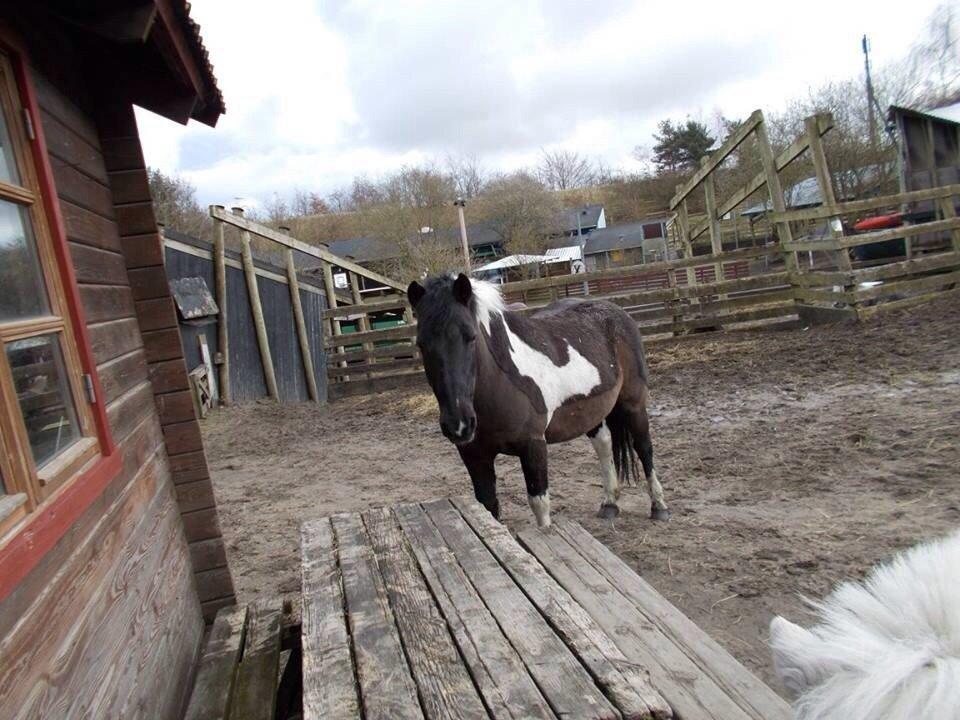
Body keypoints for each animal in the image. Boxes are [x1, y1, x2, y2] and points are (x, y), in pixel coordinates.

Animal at [407, 273, 669, 529]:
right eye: (421, 344)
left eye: (470, 337)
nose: (459, 425)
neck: (501, 382)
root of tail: (617, 311)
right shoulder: (474, 455)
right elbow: (488, 506)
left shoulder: (533, 446)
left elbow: (540, 506)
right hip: (592, 411)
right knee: (604, 445)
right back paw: (610, 504)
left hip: (633, 405)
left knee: (644, 448)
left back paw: (659, 507)